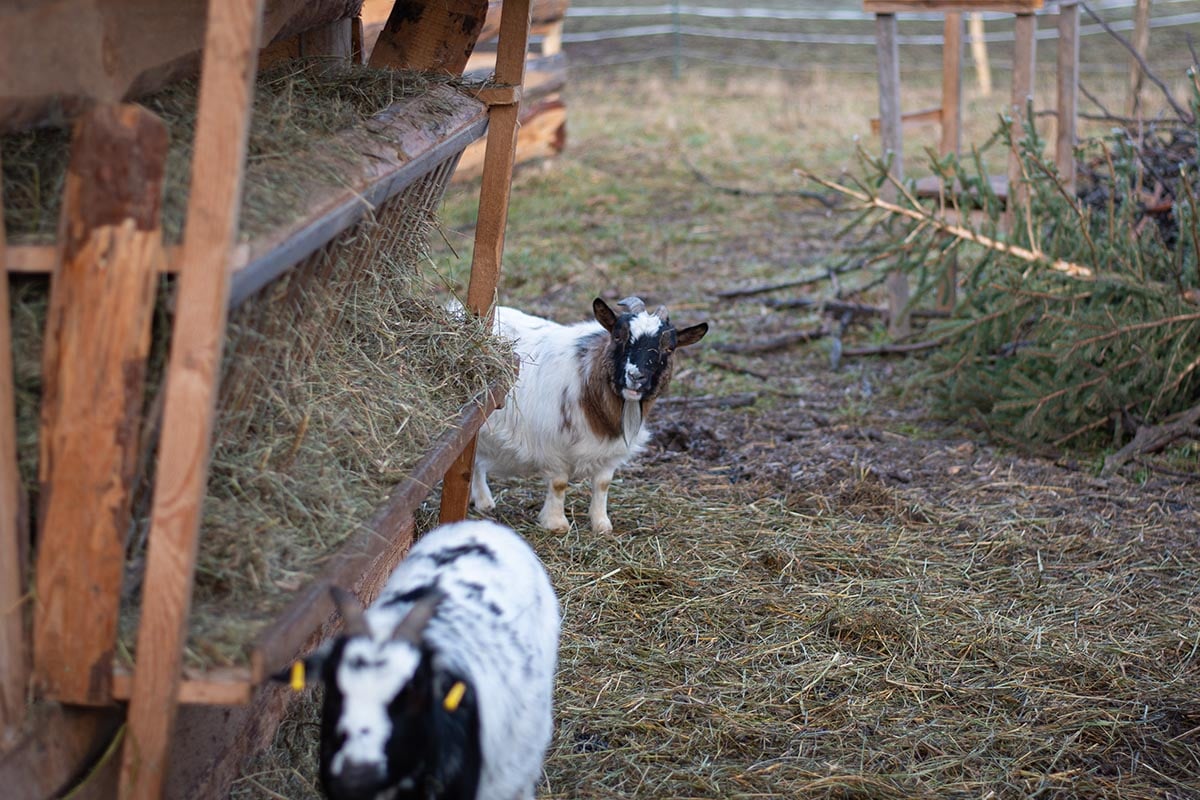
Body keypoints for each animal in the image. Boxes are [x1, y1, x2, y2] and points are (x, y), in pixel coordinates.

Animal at [470, 297, 710, 534]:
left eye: (669, 348)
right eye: (618, 336)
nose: (635, 376)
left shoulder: (610, 452)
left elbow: (602, 484)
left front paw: (601, 524)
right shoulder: (553, 446)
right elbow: (559, 484)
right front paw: (557, 524)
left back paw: (483, 502)